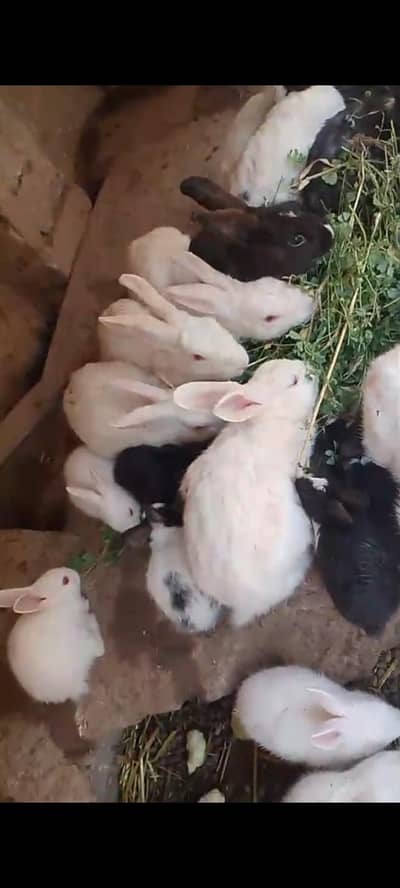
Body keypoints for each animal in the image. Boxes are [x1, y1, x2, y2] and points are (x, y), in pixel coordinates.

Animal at [0, 568, 104, 704]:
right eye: (65, 580)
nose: (74, 572)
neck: (57, 603)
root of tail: (70, 689)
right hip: (84, 642)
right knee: (99, 649)